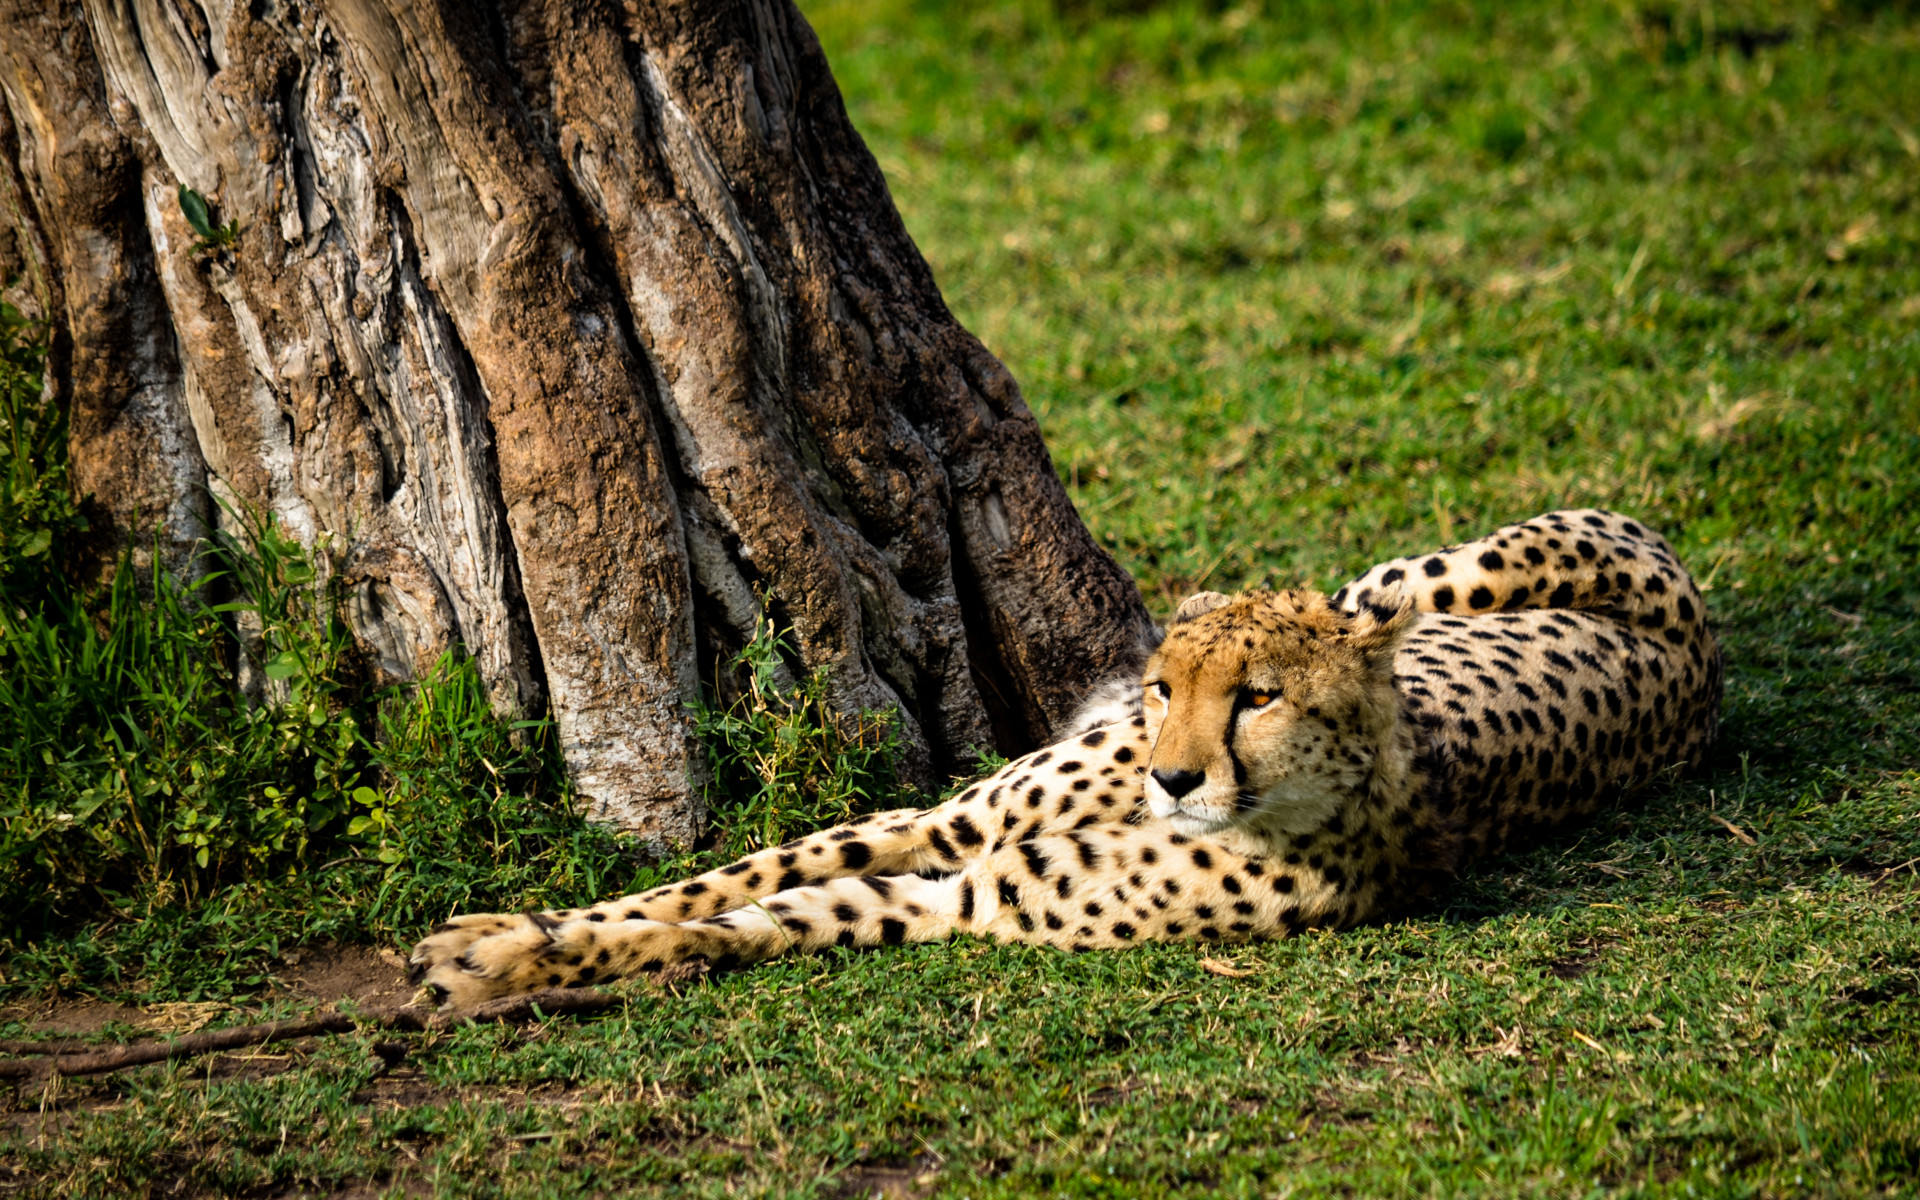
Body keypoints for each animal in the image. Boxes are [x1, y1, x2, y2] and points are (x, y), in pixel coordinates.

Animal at [408, 509, 1721, 1007]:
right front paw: (498, 933)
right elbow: (726, 877)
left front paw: (497, 967)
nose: (1173, 774)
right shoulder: (946, 826)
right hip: (1413, 578)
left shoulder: (966, 893)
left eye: (1259, 698)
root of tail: (1704, 663)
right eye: (1170, 687)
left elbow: (764, 919)